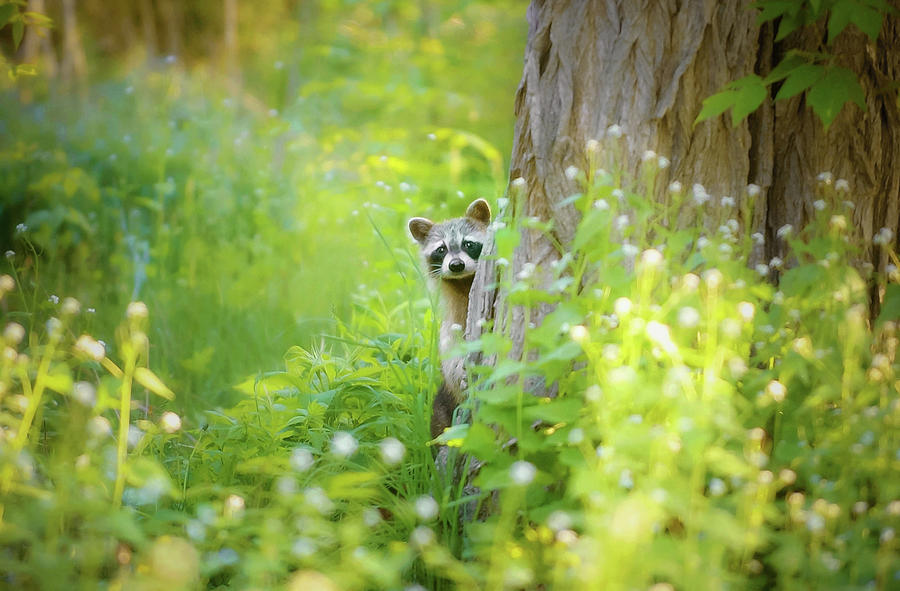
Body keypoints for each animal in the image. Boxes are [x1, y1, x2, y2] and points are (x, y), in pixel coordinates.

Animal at [410, 199, 492, 440]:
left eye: (468, 244)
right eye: (441, 249)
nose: (456, 265)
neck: (463, 282)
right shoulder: (451, 325)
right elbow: (451, 354)